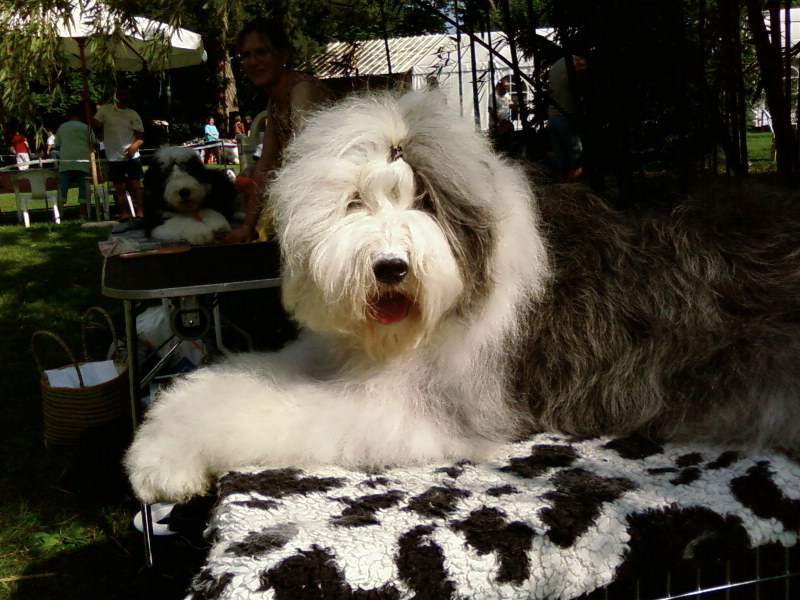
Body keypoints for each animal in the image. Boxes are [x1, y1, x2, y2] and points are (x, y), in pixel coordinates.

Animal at [126, 91, 800, 503]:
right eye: (355, 202)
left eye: (425, 201)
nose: (391, 267)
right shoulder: (332, 355)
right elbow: (235, 380)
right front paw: (159, 445)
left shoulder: (412, 409)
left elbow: (263, 410)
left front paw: (162, 461)